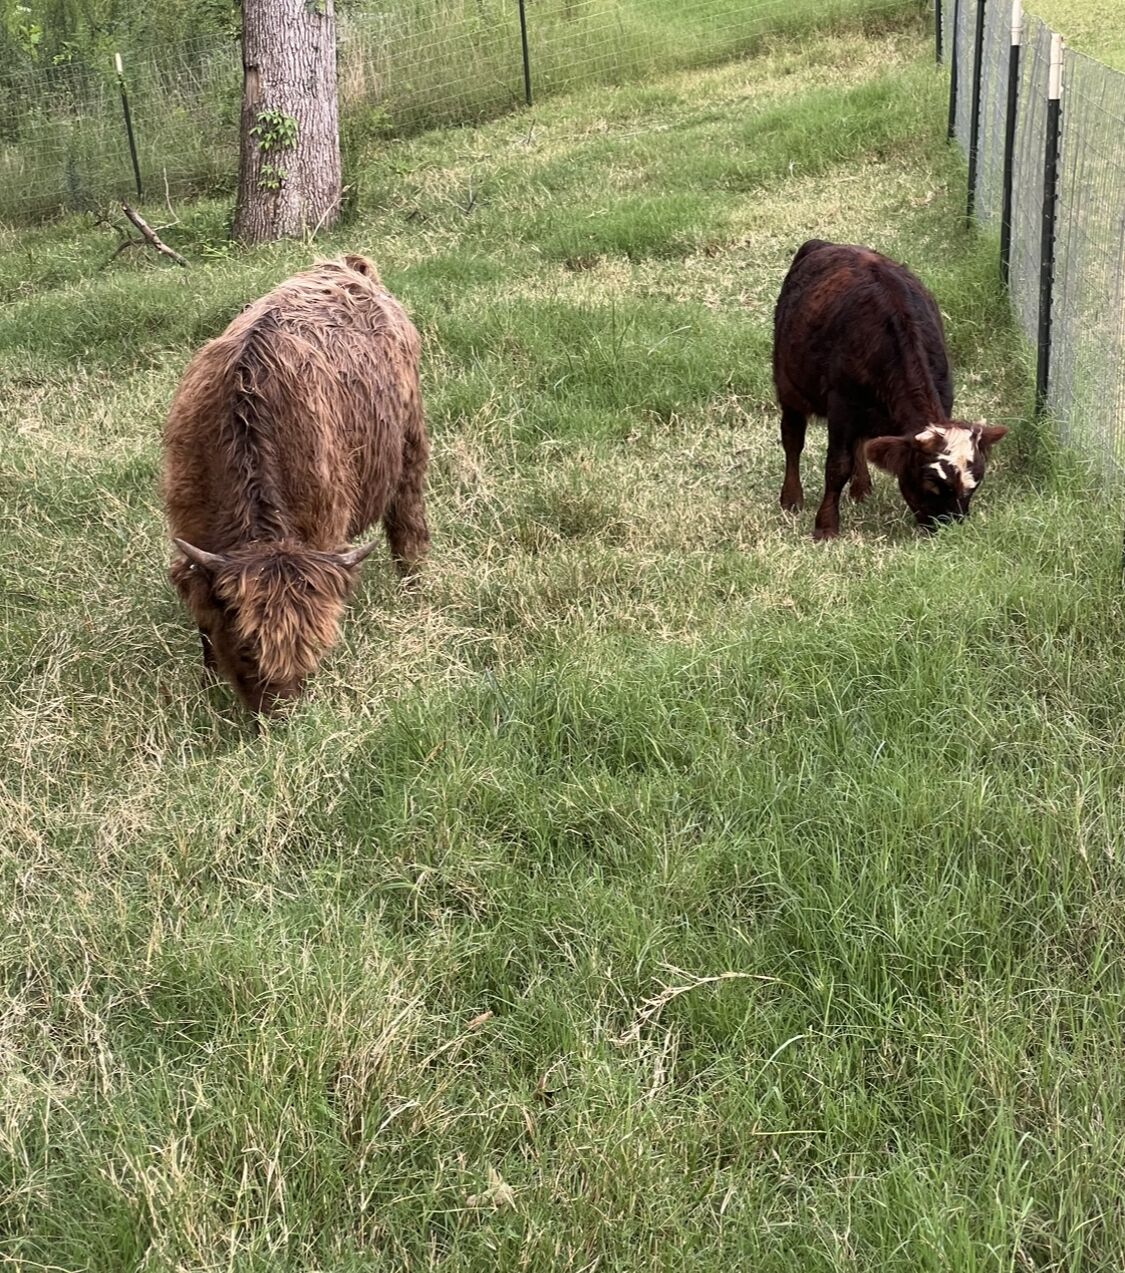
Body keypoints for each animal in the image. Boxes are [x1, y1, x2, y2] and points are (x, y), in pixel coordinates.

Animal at [162, 254, 429, 715]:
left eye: (316, 650)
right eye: (247, 648)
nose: (281, 720)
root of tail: (347, 267)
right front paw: (208, 682)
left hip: (409, 438)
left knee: (407, 517)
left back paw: (414, 584)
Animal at [772, 239, 1007, 540]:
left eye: (974, 485)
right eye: (930, 483)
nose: (949, 528)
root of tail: (822, 244)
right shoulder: (842, 407)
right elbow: (837, 465)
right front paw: (826, 526)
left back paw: (861, 489)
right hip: (789, 387)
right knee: (792, 440)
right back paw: (791, 498)